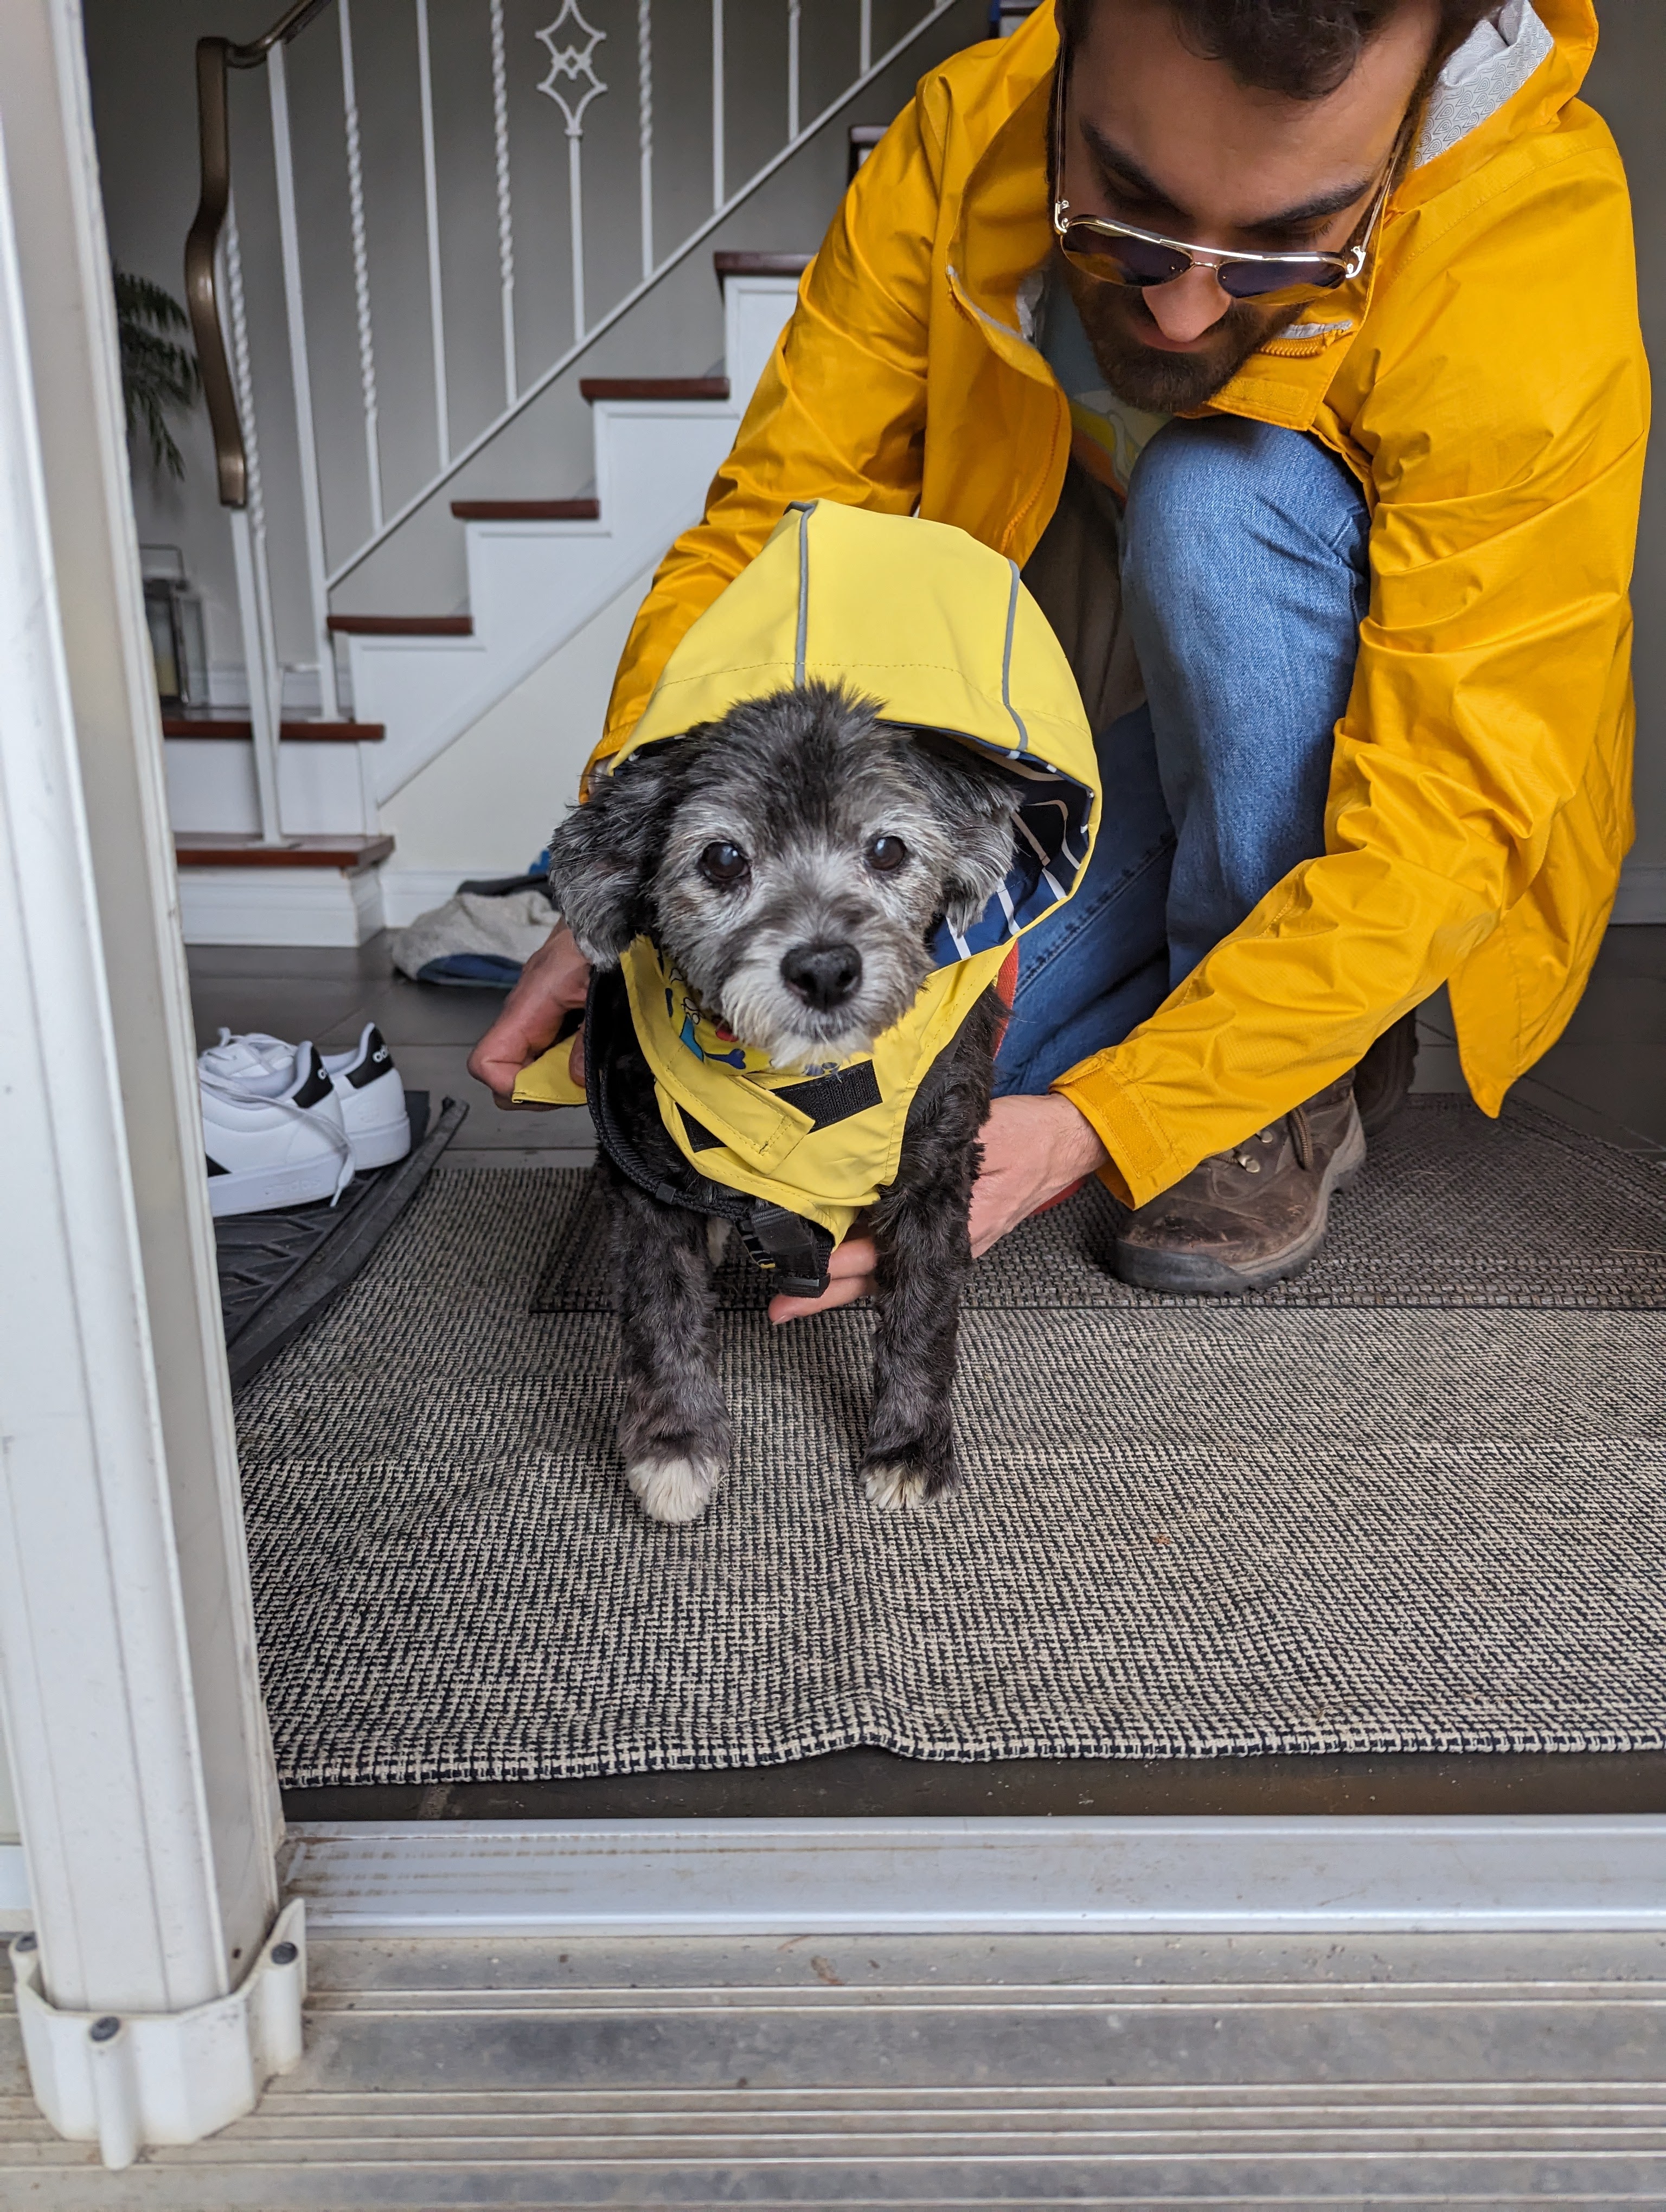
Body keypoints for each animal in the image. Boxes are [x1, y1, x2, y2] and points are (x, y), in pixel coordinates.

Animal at [548, 681, 1013, 1531]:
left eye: (888, 850)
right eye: (723, 859)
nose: (826, 969)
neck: (803, 1085)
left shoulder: (936, 1169)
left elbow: (924, 1312)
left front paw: (911, 1447)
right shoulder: (641, 1177)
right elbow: (661, 1312)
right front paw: (675, 1444)